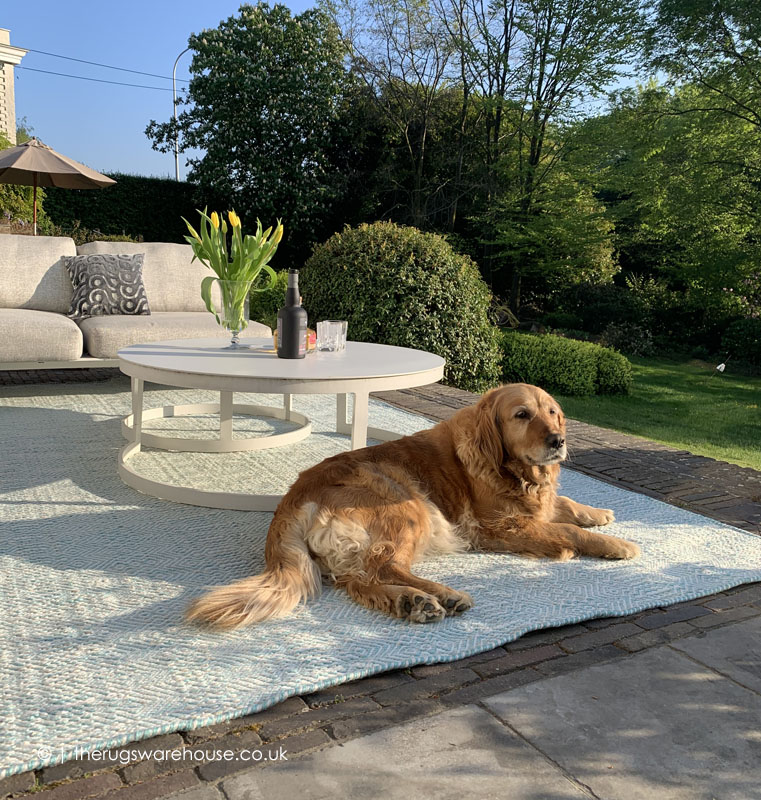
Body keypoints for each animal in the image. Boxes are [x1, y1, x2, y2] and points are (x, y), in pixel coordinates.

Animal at [187, 383, 640, 628]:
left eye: (553, 413)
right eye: (522, 414)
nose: (558, 441)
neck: (509, 466)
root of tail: (294, 499)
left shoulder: (535, 505)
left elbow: (564, 505)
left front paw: (600, 514)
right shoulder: (496, 526)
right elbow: (566, 530)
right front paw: (616, 544)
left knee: (360, 581)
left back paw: (410, 603)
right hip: (408, 505)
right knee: (384, 567)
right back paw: (440, 596)